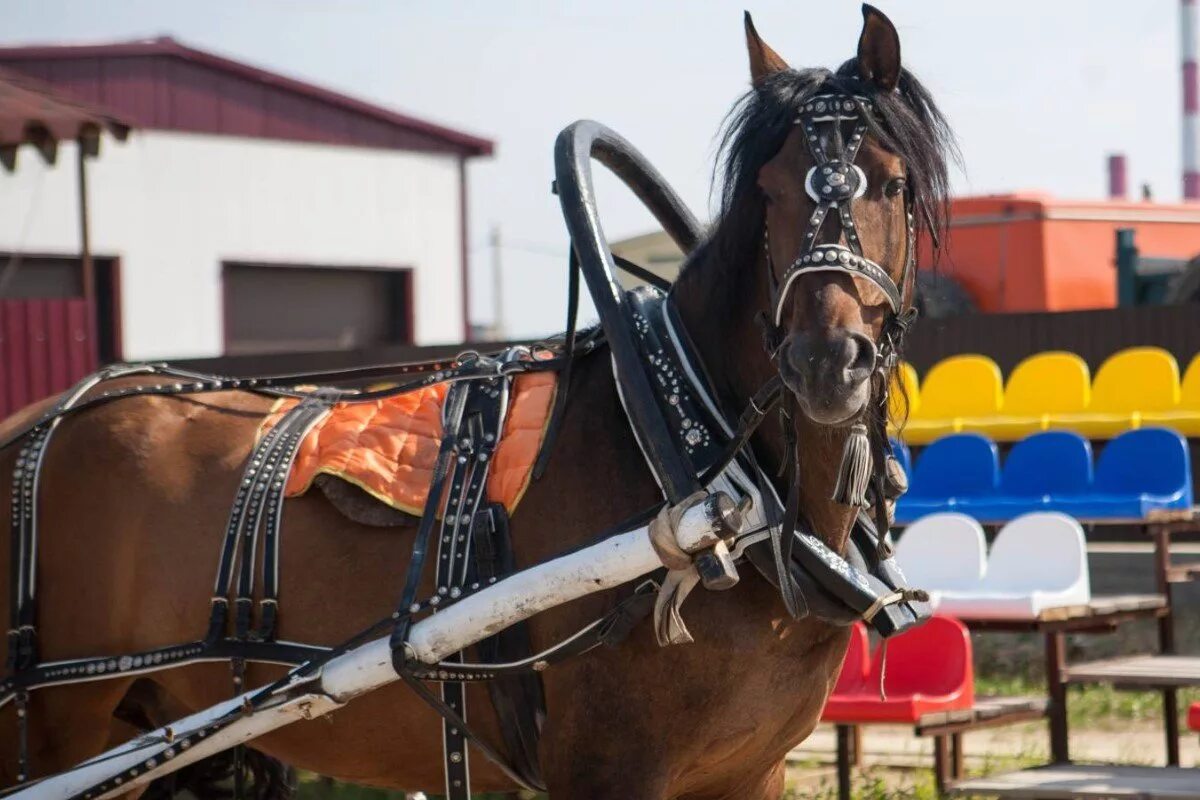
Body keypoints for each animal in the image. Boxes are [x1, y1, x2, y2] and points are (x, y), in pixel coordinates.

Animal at [2, 7, 955, 800]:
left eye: (892, 185)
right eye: (769, 193)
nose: (825, 361)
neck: (704, 477)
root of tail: (28, 425)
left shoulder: (749, 773)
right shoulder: (609, 774)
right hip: (55, 726)